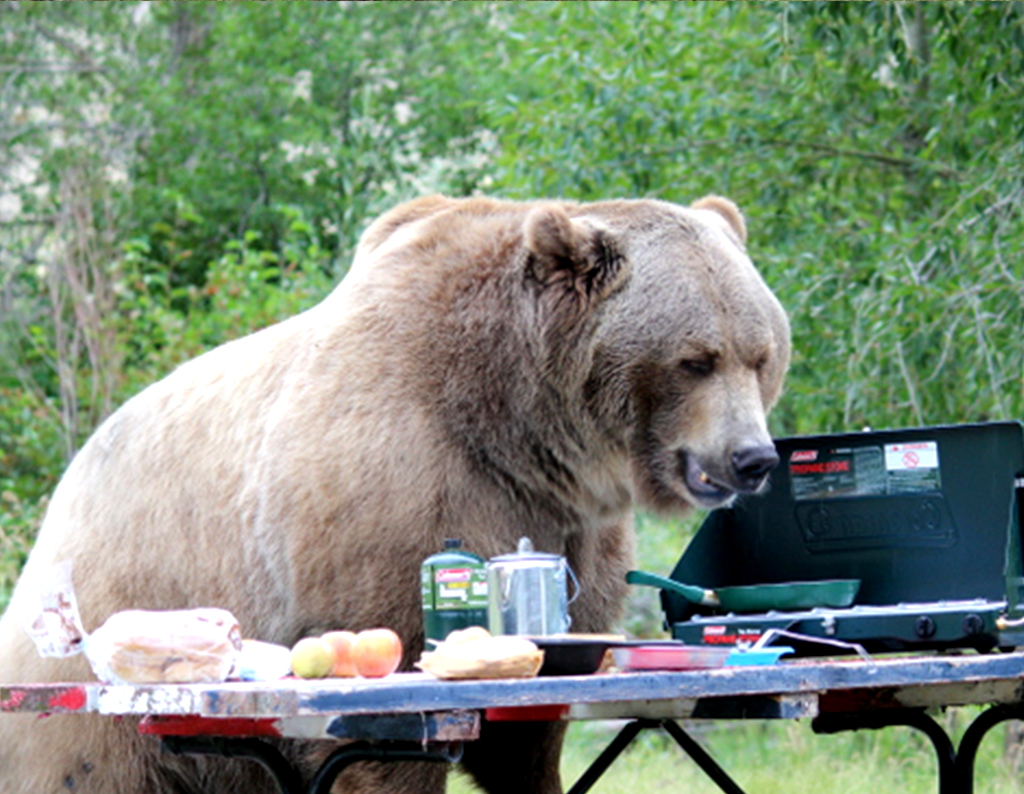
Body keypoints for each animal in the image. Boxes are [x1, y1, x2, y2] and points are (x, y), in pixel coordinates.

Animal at [0, 193, 790, 794]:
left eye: (761, 355)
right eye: (696, 359)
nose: (753, 458)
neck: (519, 429)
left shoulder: (573, 525)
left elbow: (529, 738)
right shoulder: (393, 486)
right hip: (99, 678)